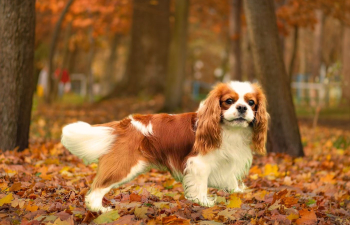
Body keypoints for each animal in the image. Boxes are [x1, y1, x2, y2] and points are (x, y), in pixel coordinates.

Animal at [60, 81, 268, 213]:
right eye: (229, 101)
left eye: (251, 103)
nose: (242, 108)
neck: (229, 130)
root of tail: (125, 123)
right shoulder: (199, 163)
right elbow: (201, 185)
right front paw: (203, 202)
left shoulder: (227, 159)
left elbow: (231, 179)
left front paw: (237, 193)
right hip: (124, 165)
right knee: (97, 188)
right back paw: (99, 209)